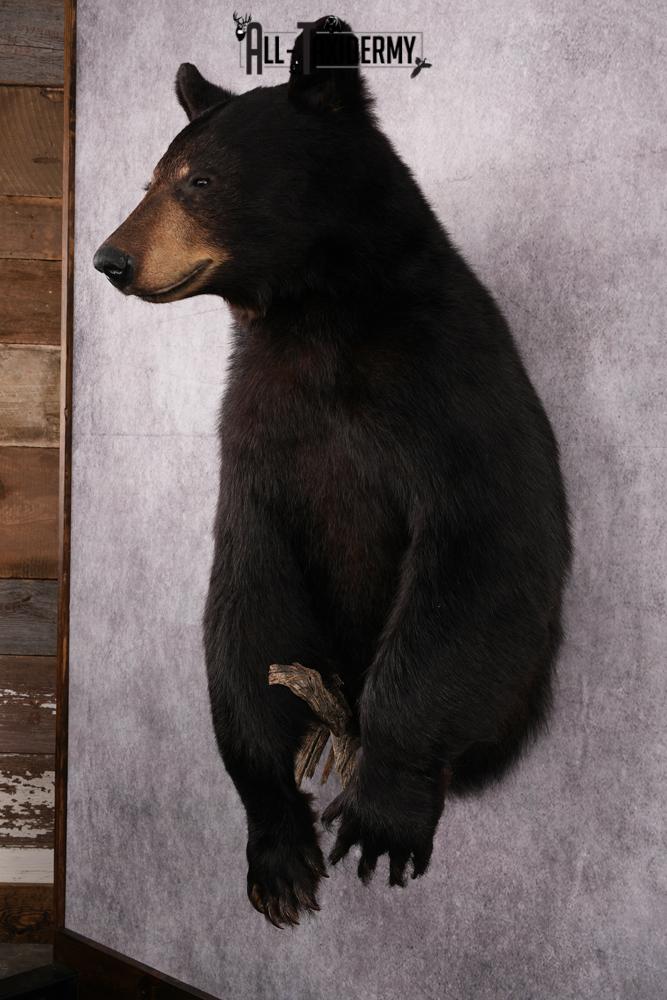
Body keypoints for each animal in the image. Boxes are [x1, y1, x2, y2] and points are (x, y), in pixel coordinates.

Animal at [93, 17, 571, 928]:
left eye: (199, 180)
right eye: (150, 180)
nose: (111, 260)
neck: (311, 318)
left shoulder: (445, 393)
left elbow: (478, 546)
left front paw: (386, 807)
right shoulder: (257, 434)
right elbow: (246, 595)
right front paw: (277, 849)